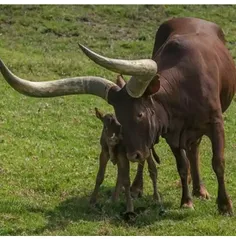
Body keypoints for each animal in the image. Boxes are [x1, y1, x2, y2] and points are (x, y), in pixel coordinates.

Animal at [0, 16, 236, 215]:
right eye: (119, 119)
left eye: (140, 114)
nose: (133, 155)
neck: (183, 88)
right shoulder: (173, 133)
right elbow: (182, 165)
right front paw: (186, 201)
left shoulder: (215, 123)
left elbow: (218, 162)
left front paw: (224, 205)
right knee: (174, 153)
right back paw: (140, 187)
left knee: (192, 149)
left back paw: (200, 189)